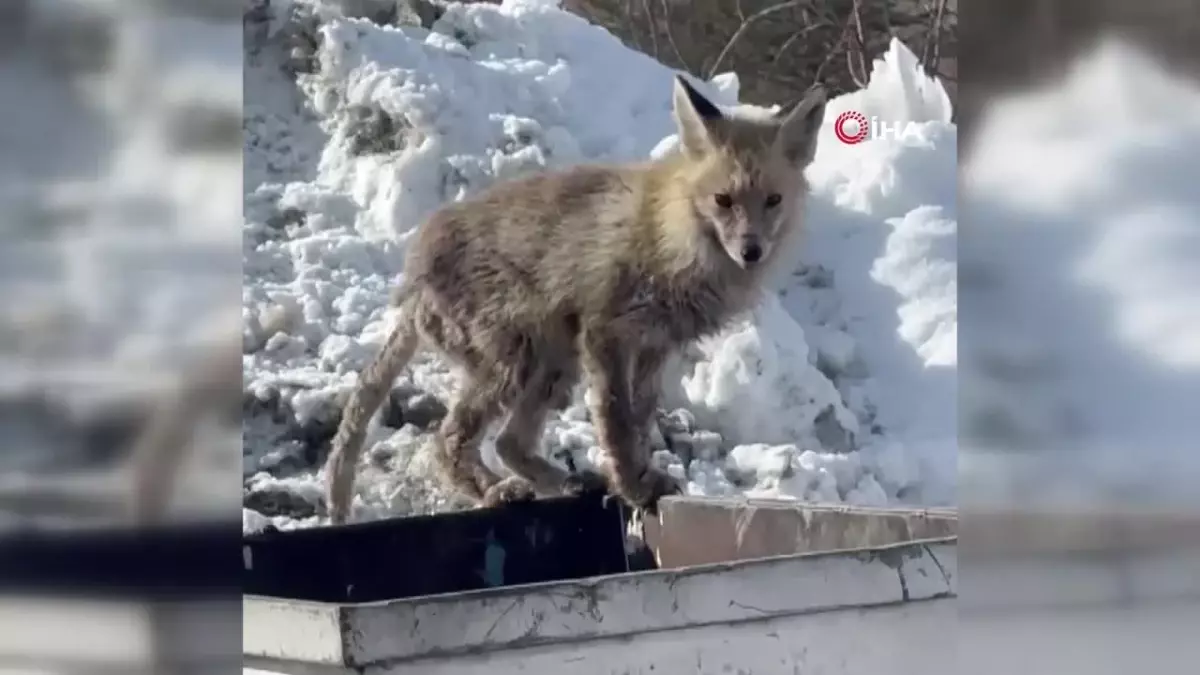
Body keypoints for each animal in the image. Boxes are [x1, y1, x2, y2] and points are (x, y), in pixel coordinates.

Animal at [321, 76, 825, 523]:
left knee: (508, 443)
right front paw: (633, 487)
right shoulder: (606, 332)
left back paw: (563, 481)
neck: (674, 240)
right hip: (517, 361)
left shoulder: (654, 345)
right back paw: (496, 491)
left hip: (553, 364)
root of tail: (413, 277)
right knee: (446, 442)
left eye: (773, 200)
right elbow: (617, 423)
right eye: (723, 200)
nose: (751, 251)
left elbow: (640, 422)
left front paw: (642, 479)